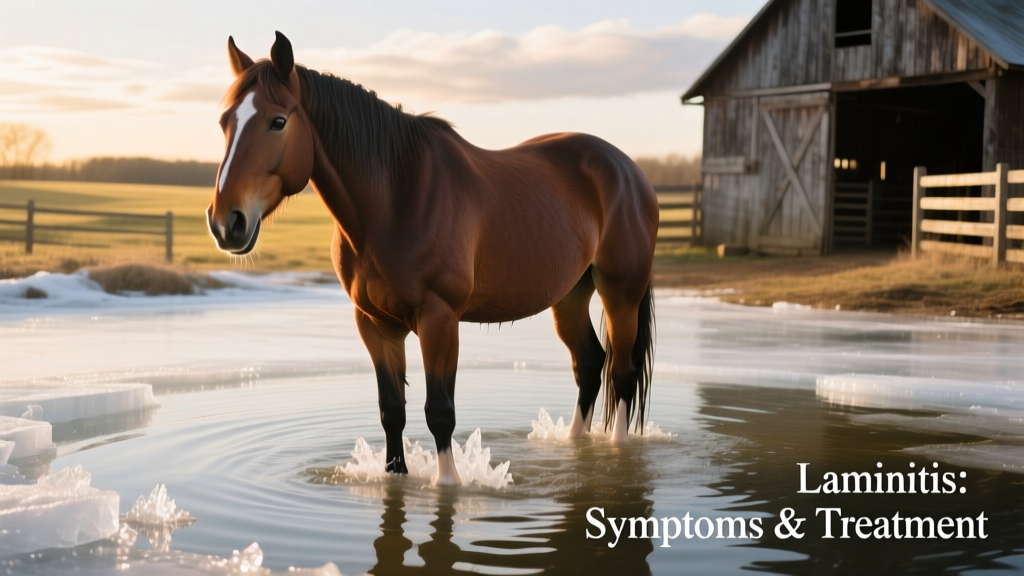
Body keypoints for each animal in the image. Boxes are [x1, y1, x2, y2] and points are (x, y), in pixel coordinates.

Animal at [207, 32, 658, 486]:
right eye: (225, 122)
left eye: (277, 121)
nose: (226, 222)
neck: (394, 201)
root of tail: (629, 170)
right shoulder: (374, 324)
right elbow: (392, 410)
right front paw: (396, 475)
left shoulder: (439, 319)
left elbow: (439, 411)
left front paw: (448, 484)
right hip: (570, 295)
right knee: (590, 363)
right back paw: (573, 445)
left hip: (620, 294)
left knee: (621, 372)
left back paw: (618, 453)